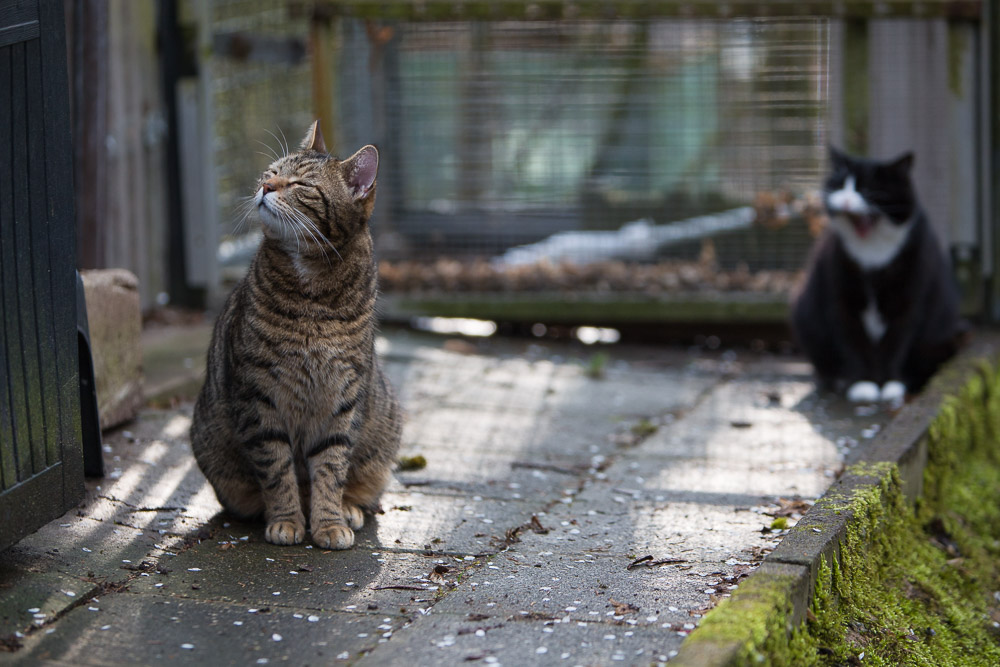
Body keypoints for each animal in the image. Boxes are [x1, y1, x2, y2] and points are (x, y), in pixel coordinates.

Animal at [189, 122, 400, 552]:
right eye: (271, 171)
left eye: (300, 183)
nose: (265, 186)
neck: (312, 296)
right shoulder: (257, 397)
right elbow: (276, 469)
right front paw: (287, 520)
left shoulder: (343, 398)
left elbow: (331, 467)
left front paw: (329, 522)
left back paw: (349, 509)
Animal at [792, 147, 964, 402]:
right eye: (839, 185)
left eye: (867, 190)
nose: (846, 200)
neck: (872, 252)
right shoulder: (841, 300)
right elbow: (853, 343)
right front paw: (862, 384)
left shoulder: (909, 301)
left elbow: (896, 344)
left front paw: (891, 384)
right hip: (806, 315)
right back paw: (838, 379)